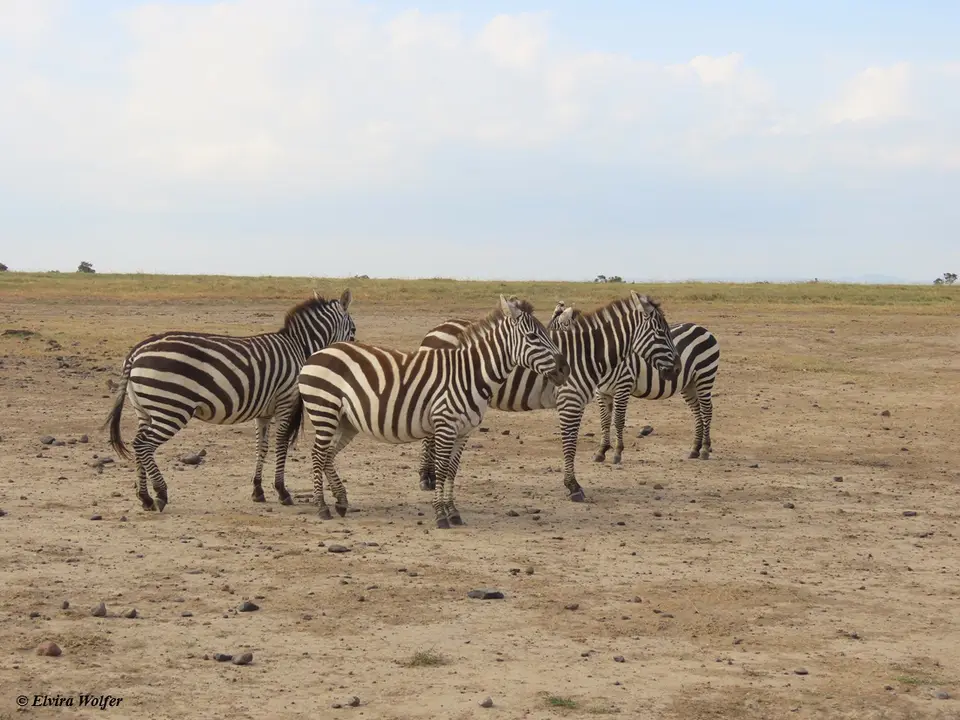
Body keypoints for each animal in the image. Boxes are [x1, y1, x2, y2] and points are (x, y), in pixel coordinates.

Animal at [103, 290, 356, 512]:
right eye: (353, 330)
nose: (351, 352)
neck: (298, 346)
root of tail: (136, 351)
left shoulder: (264, 411)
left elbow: (261, 447)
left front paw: (258, 490)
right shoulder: (286, 400)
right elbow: (281, 444)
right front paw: (282, 491)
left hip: (145, 410)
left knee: (138, 443)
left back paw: (145, 498)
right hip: (172, 408)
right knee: (143, 445)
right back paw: (161, 493)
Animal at [295, 295, 570, 529]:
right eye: (533, 336)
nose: (564, 370)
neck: (471, 374)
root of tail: (317, 353)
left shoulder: (464, 432)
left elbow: (451, 471)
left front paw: (453, 512)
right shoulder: (445, 425)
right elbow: (440, 469)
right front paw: (440, 515)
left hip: (346, 421)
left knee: (327, 456)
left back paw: (341, 501)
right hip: (324, 410)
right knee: (318, 455)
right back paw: (322, 507)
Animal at [416, 291, 682, 502]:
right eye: (661, 332)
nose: (678, 369)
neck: (588, 353)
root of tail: (434, 330)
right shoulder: (570, 401)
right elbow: (570, 444)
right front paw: (573, 487)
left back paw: (430, 477)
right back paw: (425, 478)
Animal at [549, 301, 720, 464]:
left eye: (555, 336)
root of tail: (702, 328)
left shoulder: (622, 386)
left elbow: (618, 420)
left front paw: (617, 453)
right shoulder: (601, 391)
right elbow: (604, 421)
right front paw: (601, 451)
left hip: (704, 376)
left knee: (706, 410)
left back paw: (705, 449)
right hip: (689, 384)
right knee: (697, 411)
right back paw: (695, 449)